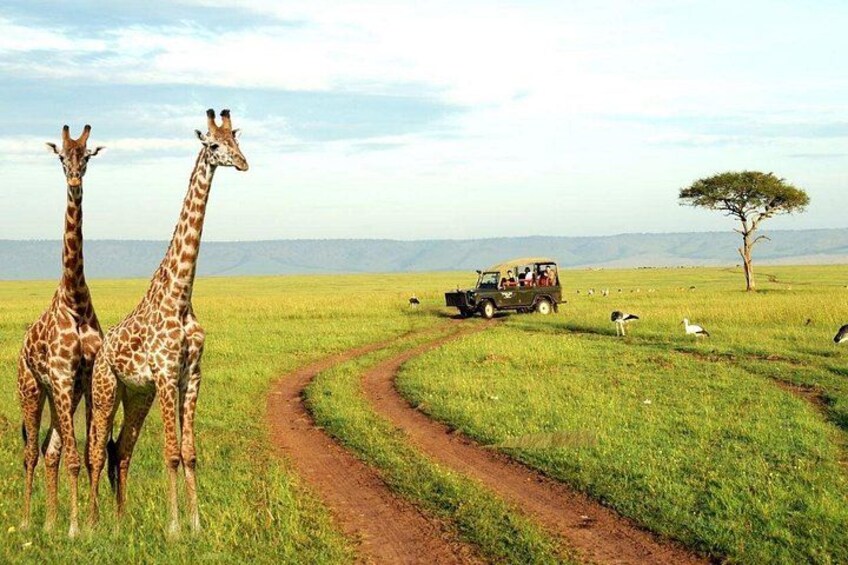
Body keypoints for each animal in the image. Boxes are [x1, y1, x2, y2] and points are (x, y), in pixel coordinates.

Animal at [88, 109, 248, 536]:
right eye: (214, 145)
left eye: (237, 140)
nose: (243, 163)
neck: (180, 297)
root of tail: (101, 349)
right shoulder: (164, 375)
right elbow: (171, 452)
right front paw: (174, 528)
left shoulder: (191, 375)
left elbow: (189, 452)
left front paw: (196, 524)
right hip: (105, 390)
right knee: (96, 449)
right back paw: (91, 524)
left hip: (136, 395)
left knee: (120, 449)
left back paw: (120, 522)